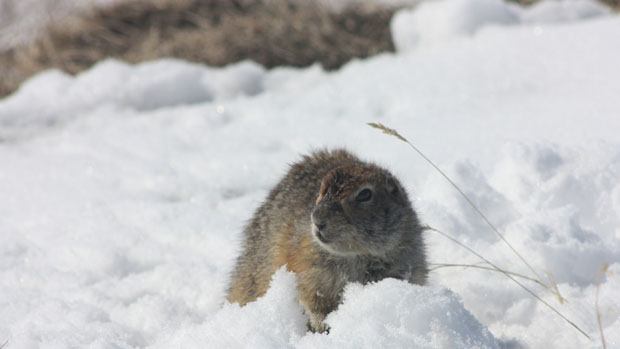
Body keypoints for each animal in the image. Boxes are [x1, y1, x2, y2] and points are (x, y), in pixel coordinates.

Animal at [226, 147, 426, 332]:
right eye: (321, 191)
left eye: (365, 194)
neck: (355, 256)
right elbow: (310, 296)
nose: (318, 220)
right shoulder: (307, 263)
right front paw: (322, 323)